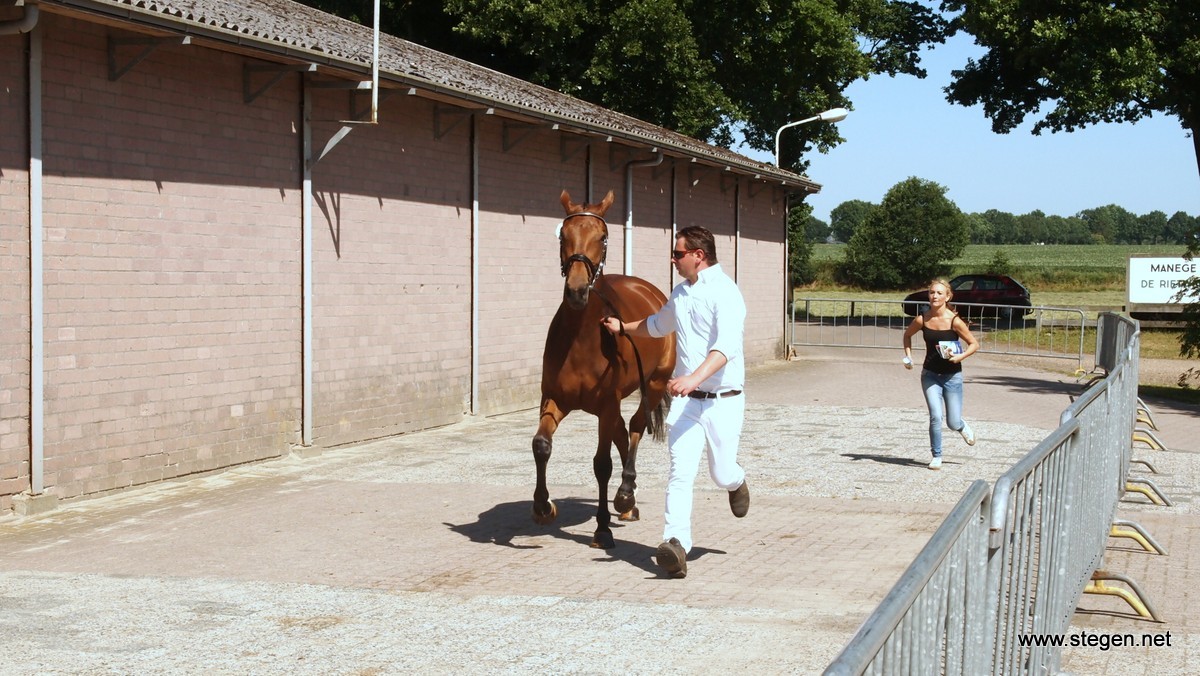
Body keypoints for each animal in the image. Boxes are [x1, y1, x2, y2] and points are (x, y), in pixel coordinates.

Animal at [532, 189, 676, 549]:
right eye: (563, 235)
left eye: (602, 237)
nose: (577, 291)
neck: (581, 339)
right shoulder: (553, 400)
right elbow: (541, 446)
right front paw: (543, 507)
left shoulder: (606, 405)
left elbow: (601, 465)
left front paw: (602, 528)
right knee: (623, 433)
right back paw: (628, 503)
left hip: (654, 384)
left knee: (635, 427)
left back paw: (625, 494)